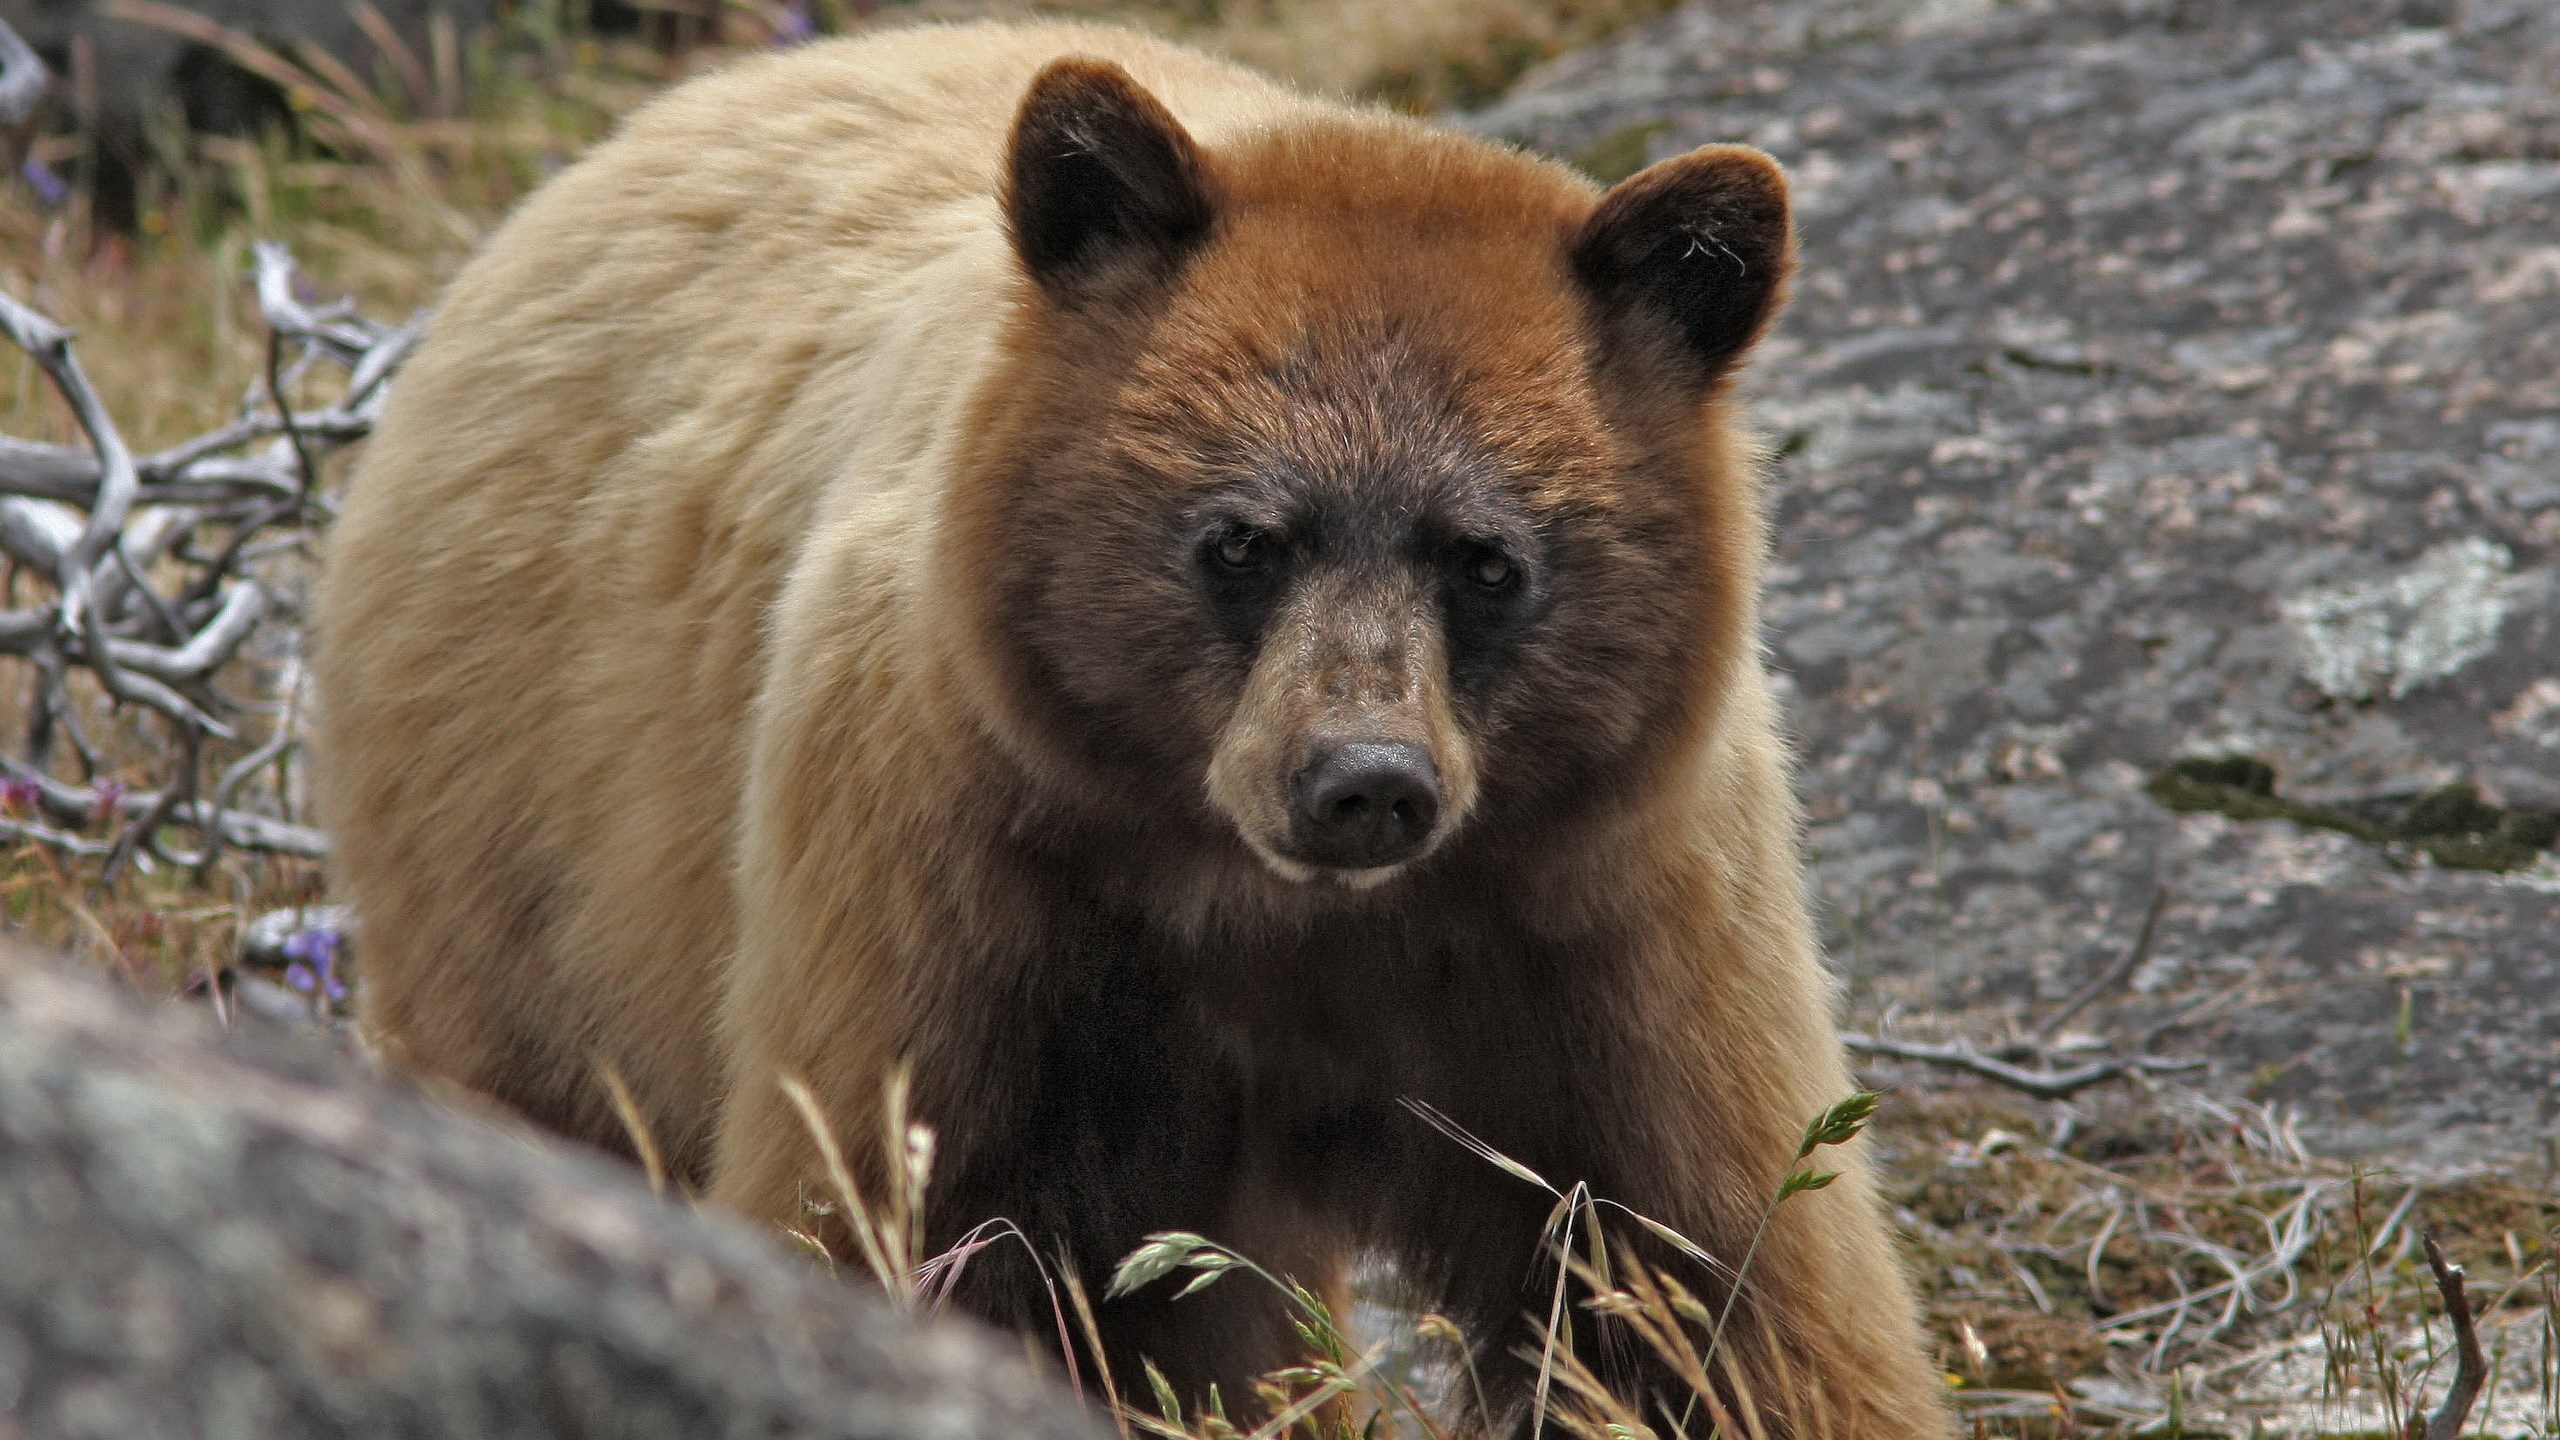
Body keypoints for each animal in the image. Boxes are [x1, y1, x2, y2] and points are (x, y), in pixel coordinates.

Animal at [314, 20, 1949, 1438]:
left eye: (1488, 559)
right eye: (1241, 538)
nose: (1362, 783)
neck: (1284, 926)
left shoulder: (1604, 927)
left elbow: (1717, 1283)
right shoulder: (964, 894)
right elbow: (884, 1206)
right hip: (515, 848)